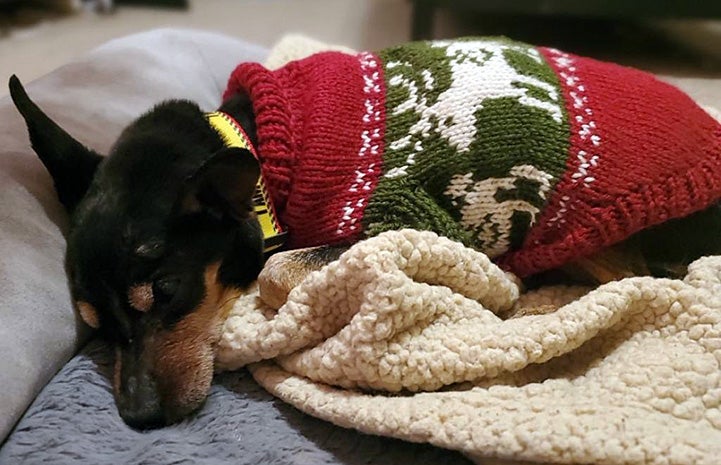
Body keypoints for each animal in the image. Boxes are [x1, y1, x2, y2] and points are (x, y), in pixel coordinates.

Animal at [8, 35, 720, 428]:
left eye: (168, 293)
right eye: (95, 327)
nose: (139, 418)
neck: (265, 157)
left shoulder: (417, 214)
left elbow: (278, 267)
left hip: (604, 223)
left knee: (645, 277)